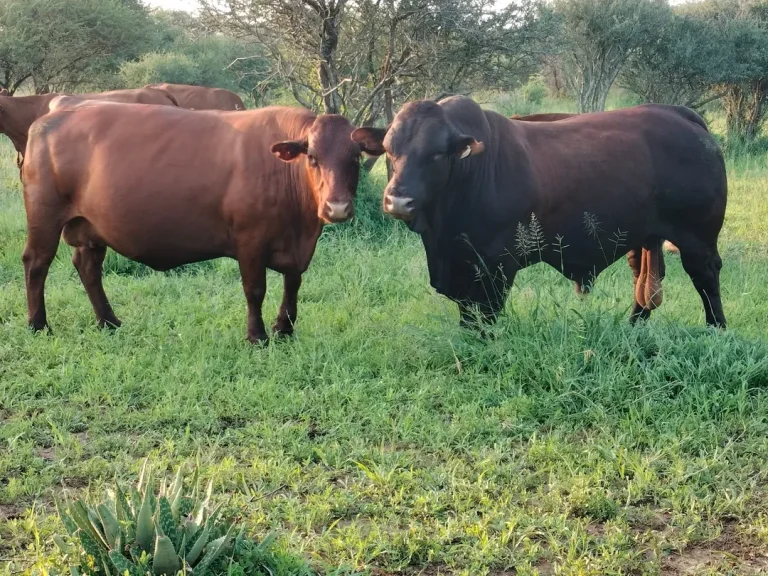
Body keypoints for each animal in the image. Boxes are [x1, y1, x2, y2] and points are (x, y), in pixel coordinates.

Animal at [21, 103, 377, 342]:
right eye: (313, 158)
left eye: (355, 157)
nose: (337, 207)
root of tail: (52, 116)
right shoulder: (250, 241)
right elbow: (255, 289)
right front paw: (257, 336)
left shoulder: (297, 247)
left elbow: (293, 285)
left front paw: (284, 329)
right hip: (44, 216)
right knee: (36, 263)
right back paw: (39, 325)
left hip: (90, 226)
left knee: (88, 267)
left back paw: (108, 321)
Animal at [352, 96, 727, 329]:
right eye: (389, 150)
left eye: (436, 154)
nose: (398, 201)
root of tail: (682, 115)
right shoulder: (461, 264)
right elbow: (467, 315)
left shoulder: (496, 267)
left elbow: (485, 317)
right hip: (644, 237)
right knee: (645, 285)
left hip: (697, 239)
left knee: (706, 279)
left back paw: (716, 329)